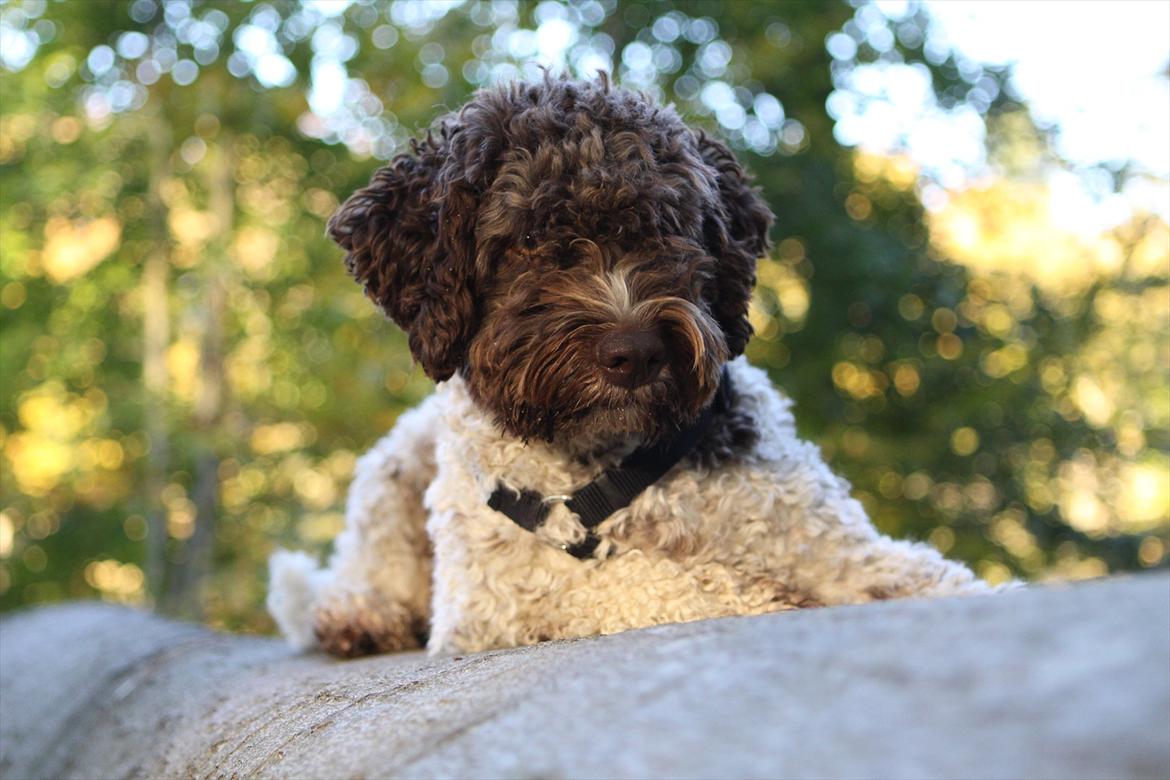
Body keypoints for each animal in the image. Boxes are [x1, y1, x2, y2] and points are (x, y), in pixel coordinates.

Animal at [269, 76, 992, 659]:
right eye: (526, 241)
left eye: (667, 227)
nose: (636, 352)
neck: (616, 473)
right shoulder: (496, 605)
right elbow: (647, 584)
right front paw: (760, 594)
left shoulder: (836, 544)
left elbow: (920, 575)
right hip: (393, 470)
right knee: (358, 568)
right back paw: (358, 613)